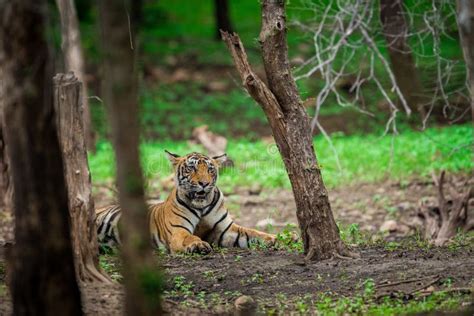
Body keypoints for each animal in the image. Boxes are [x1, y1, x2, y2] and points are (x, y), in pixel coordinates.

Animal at [94, 151, 276, 254]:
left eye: (210, 169)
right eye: (192, 168)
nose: (204, 183)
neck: (202, 205)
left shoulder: (226, 229)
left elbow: (253, 233)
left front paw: (274, 238)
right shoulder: (178, 230)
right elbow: (189, 237)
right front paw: (198, 245)